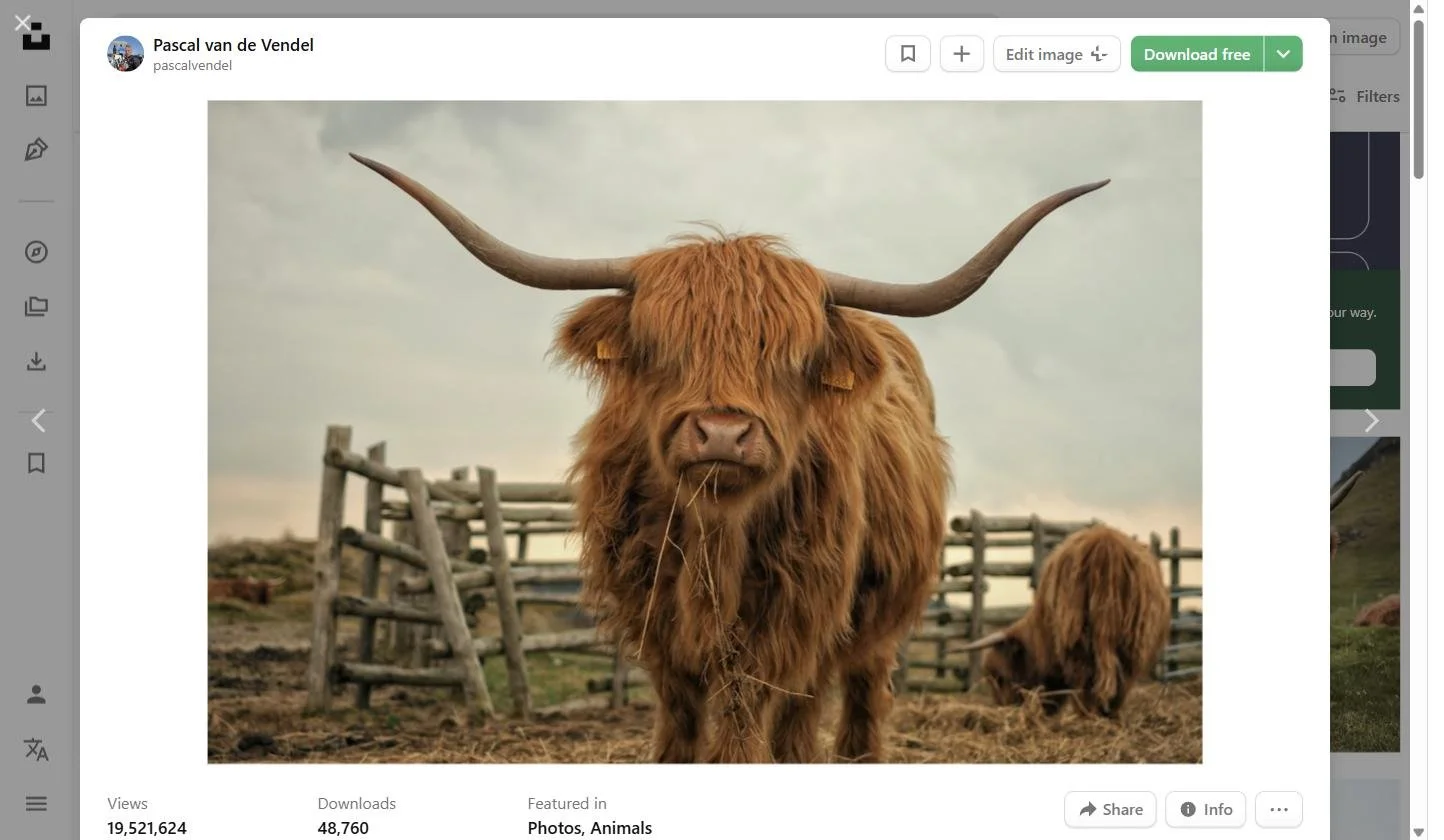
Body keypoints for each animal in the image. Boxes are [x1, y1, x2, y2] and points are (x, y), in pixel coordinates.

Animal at [350, 152, 1108, 763]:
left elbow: (749, 724)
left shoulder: (788, 624)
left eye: (791, 357)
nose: (721, 434)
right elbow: (682, 725)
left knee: (845, 706)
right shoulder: (657, 627)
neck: (715, 538)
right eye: (662, 347)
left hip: (871, 621)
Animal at [956, 524, 1171, 718]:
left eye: (1000, 677)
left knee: (1087, 676)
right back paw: (1107, 713)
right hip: (1131, 640)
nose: (1004, 708)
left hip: (1077, 635)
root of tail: (1105, 543)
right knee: (1120, 677)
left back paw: (1086, 714)